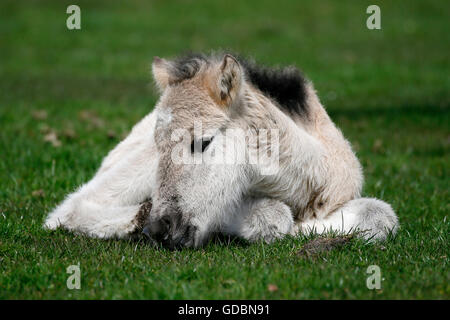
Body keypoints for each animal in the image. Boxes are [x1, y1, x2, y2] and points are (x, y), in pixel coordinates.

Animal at [44, 53, 400, 248]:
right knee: (68, 209)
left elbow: (381, 216)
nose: (159, 230)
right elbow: (273, 216)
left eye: (203, 142)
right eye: (159, 147)